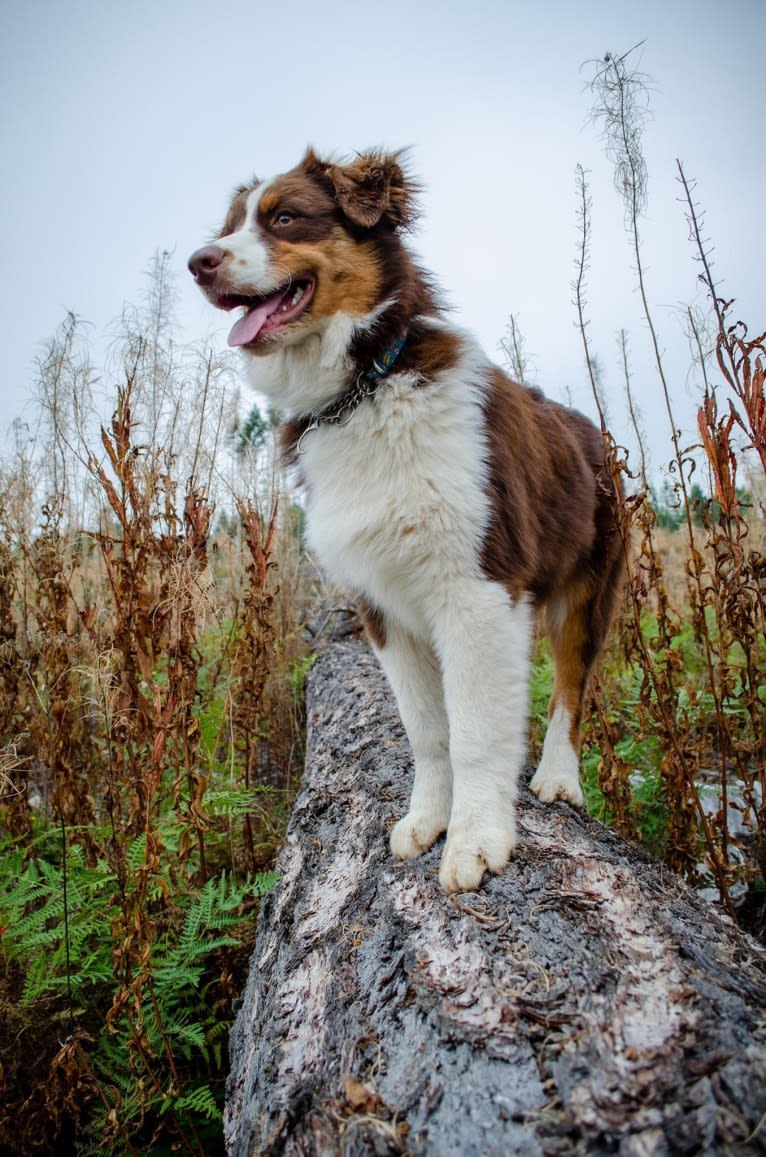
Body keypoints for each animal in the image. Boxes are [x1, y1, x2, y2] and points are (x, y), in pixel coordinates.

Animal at [188, 149, 629, 893]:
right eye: (227, 227)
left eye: (285, 217)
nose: (197, 262)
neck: (364, 389)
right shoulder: (380, 603)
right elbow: (427, 728)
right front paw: (430, 818)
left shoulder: (478, 588)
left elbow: (476, 729)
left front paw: (477, 838)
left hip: (587, 592)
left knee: (572, 686)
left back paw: (558, 778)